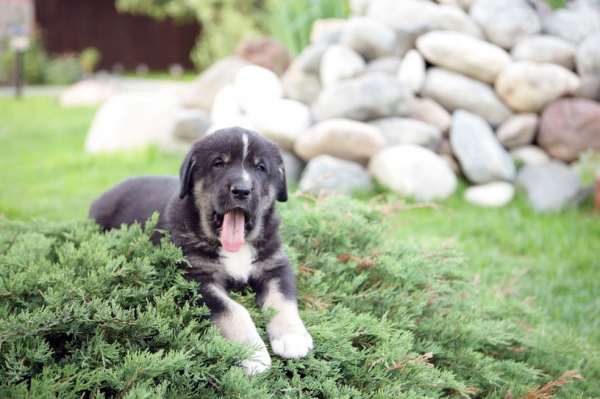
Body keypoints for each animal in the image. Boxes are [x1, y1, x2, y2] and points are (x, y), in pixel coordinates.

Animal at [90, 127, 314, 376]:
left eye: (260, 168)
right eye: (219, 164)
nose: (242, 190)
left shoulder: (275, 264)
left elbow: (282, 299)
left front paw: (291, 336)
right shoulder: (196, 279)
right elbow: (233, 310)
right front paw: (252, 353)